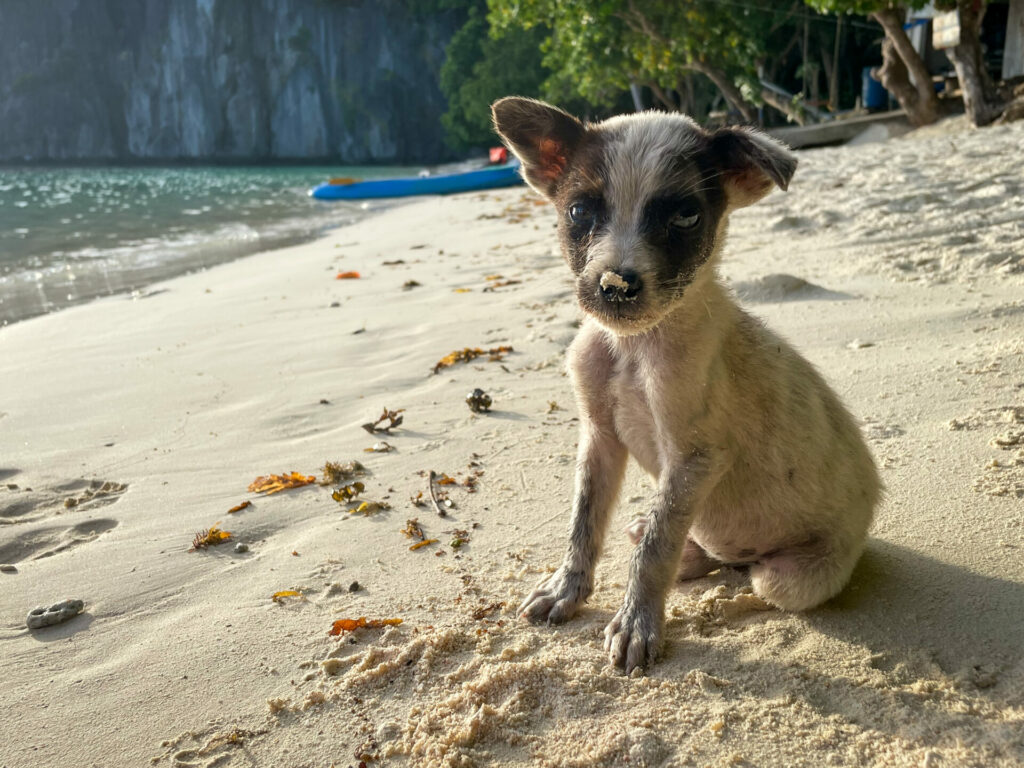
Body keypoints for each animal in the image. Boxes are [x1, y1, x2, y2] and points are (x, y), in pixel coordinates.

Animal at [491, 97, 876, 671]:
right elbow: (586, 523)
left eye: (685, 216)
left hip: (789, 577)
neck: (633, 349)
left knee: (748, 575)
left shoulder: (696, 459)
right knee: (698, 549)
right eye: (580, 212)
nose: (615, 286)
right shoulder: (599, 439)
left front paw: (637, 624)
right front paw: (567, 590)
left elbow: (657, 546)